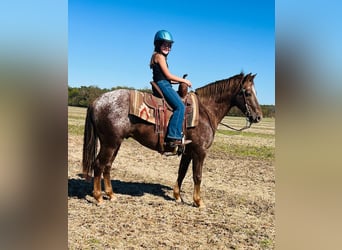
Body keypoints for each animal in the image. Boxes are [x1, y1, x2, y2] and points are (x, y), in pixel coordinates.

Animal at [82, 72, 262, 207]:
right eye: (247, 93)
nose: (258, 116)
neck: (204, 112)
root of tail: (97, 101)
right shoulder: (200, 151)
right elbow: (197, 176)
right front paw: (198, 202)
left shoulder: (188, 151)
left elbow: (182, 172)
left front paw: (177, 196)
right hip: (110, 143)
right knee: (99, 165)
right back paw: (98, 197)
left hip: (115, 143)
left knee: (107, 166)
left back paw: (111, 195)